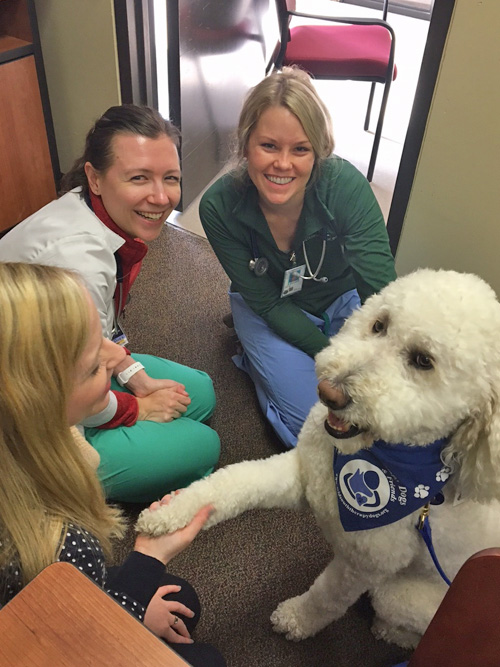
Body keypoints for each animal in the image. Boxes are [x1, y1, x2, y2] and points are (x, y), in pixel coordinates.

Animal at [135, 268, 500, 648]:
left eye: (423, 361)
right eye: (379, 325)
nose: (330, 392)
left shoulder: (363, 565)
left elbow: (327, 598)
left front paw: (296, 620)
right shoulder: (304, 471)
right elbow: (233, 483)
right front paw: (172, 513)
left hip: (400, 594)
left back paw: (390, 632)